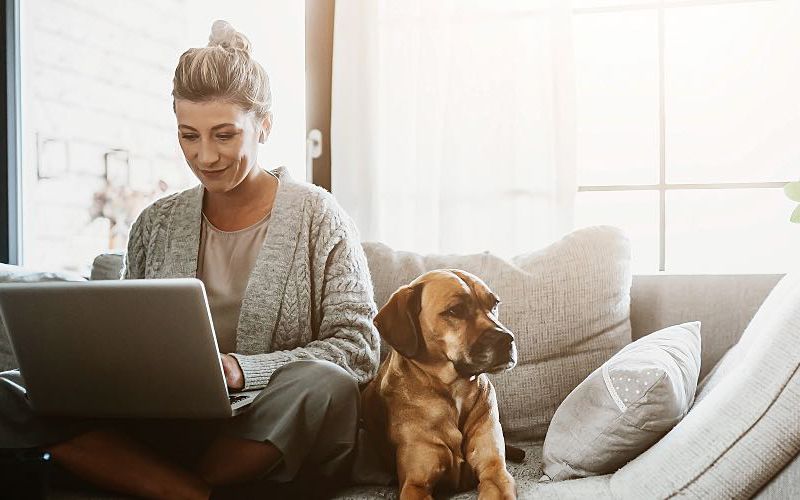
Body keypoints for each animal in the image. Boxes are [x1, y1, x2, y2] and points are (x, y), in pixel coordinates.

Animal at [362, 272, 520, 498]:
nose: (508, 339)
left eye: (494, 304)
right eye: (455, 310)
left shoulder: (495, 471)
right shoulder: (415, 484)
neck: (455, 390)